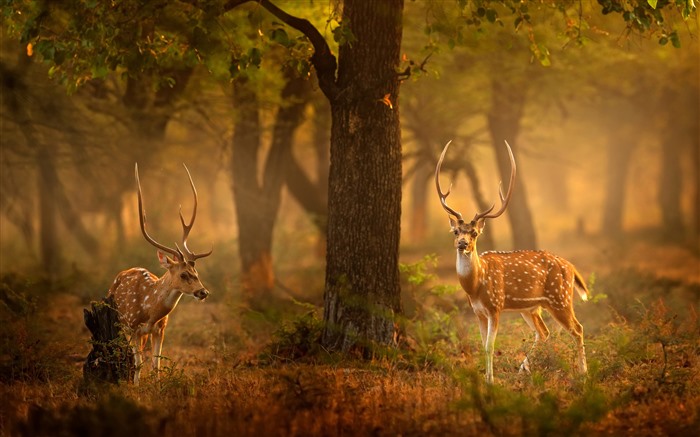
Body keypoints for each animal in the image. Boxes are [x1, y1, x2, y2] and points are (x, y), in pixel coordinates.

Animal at [106, 163, 211, 382]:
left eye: (196, 271)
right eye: (183, 274)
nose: (203, 292)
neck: (150, 311)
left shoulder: (161, 329)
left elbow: (156, 364)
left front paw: (157, 387)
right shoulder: (133, 327)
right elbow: (137, 364)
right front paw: (136, 387)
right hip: (119, 323)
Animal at [434, 141, 588, 384]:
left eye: (474, 233)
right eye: (456, 231)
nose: (462, 244)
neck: (475, 286)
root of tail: (571, 267)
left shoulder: (495, 306)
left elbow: (490, 346)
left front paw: (490, 381)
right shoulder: (478, 312)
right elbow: (482, 346)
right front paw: (487, 378)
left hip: (560, 298)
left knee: (578, 328)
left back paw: (583, 372)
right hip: (532, 307)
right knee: (544, 332)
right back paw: (524, 369)